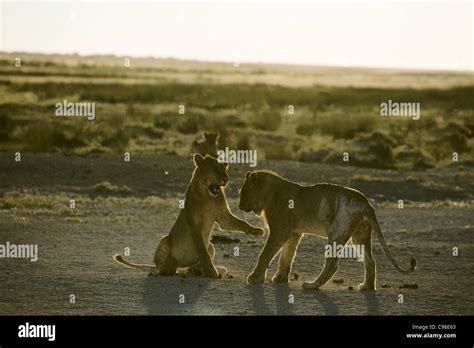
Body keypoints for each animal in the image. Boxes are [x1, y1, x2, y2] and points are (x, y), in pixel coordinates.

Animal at [113, 154, 264, 278]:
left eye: (224, 169)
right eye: (215, 168)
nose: (226, 179)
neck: (208, 197)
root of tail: (180, 266)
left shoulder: (223, 218)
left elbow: (241, 223)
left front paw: (256, 231)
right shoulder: (195, 225)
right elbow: (203, 252)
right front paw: (212, 272)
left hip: (211, 245)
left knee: (193, 266)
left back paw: (200, 271)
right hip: (165, 240)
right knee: (159, 266)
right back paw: (165, 270)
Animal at [239, 170, 416, 290]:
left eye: (243, 192)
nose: (240, 206)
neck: (269, 193)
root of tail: (366, 202)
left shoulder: (280, 230)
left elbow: (266, 254)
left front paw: (254, 278)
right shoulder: (294, 232)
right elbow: (286, 256)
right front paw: (280, 279)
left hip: (337, 232)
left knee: (332, 263)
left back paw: (312, 285)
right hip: (360, 235)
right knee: (370, 260)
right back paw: (366, 287)